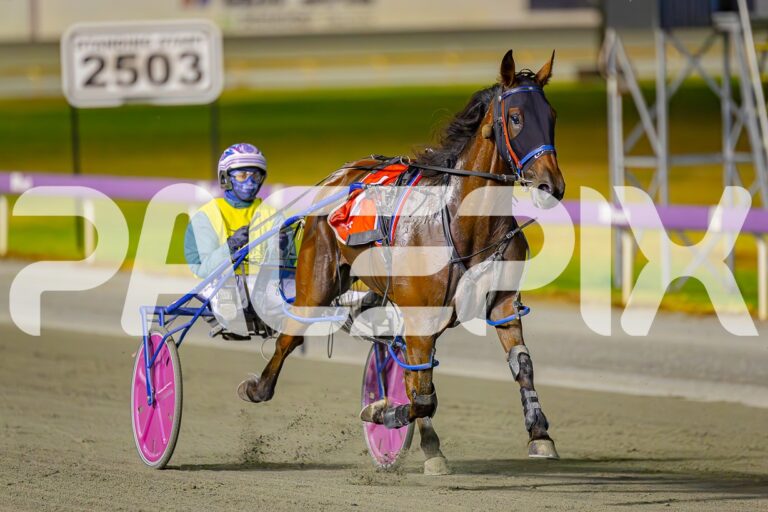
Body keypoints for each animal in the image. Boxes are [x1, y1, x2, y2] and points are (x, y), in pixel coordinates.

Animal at [237, 49, 566, 474]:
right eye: (515, 117)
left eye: (551, 115)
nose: (551, 185)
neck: (462, 220)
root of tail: (341, 174)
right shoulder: (420, 317)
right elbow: (421, 394)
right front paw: (382, 414)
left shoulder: (503, 302)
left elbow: (520, 364)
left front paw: (540, 433)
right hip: (318, 280)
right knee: (291, 335)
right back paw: (257, 387)